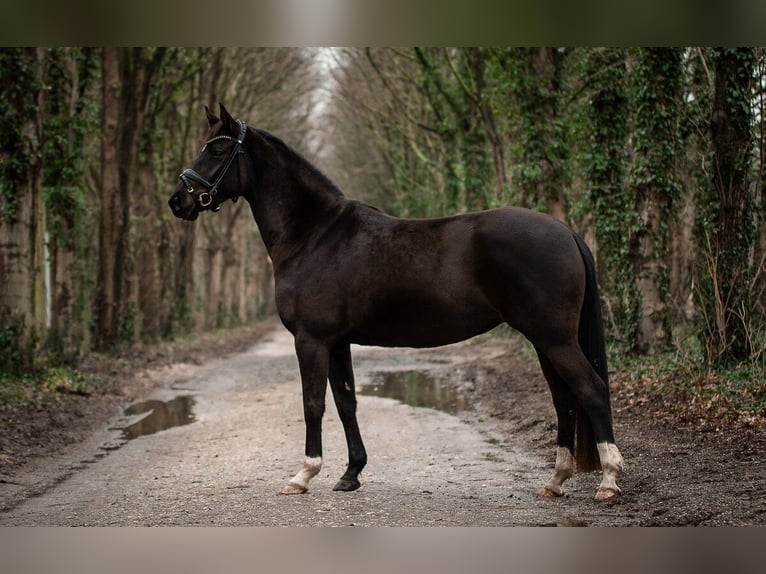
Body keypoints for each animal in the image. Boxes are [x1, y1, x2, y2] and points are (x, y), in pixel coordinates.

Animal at [168, 106, 624, 502]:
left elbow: (313, 404)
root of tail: (566, 232)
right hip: (544, 339)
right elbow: (346, 402)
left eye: (217, 150)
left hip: (553, 338)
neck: (315, 235)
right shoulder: (338, 342)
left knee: (590, 389)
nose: (178, 201)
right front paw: (351, 473)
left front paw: (304, 474)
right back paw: (556, 480)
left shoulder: (311, 340)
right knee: (563, 397)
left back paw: (608, 481)